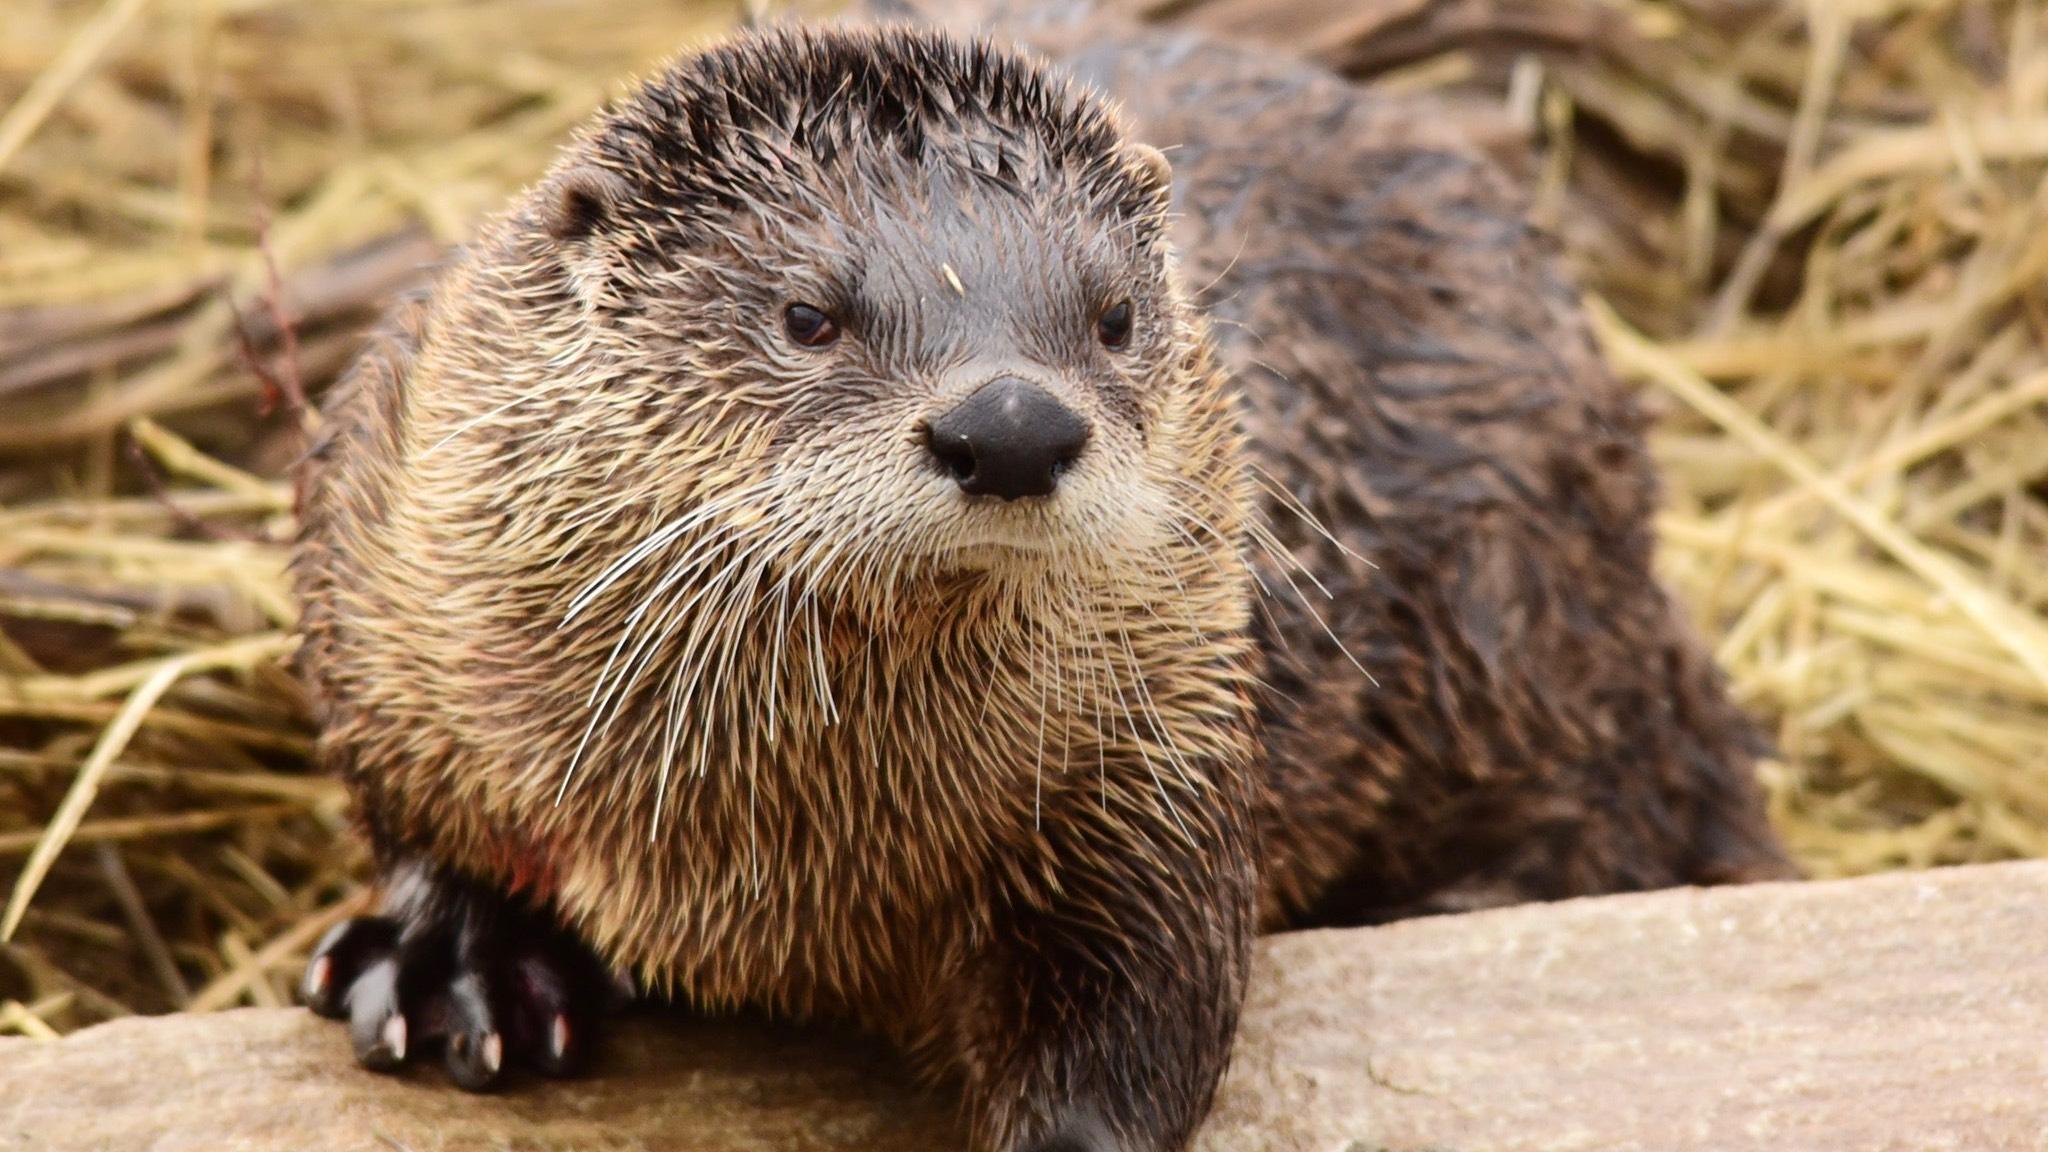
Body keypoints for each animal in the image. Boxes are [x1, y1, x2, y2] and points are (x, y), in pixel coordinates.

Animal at [292, 8, 1794, 1147]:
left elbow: (1147, 1002)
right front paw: (451, 962)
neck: (776, 856)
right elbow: (403, 788)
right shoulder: (379, 545)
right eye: (806, 314)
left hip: (1524, 609)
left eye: (1114, 316)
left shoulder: (1162, 754)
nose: (1010, 422)